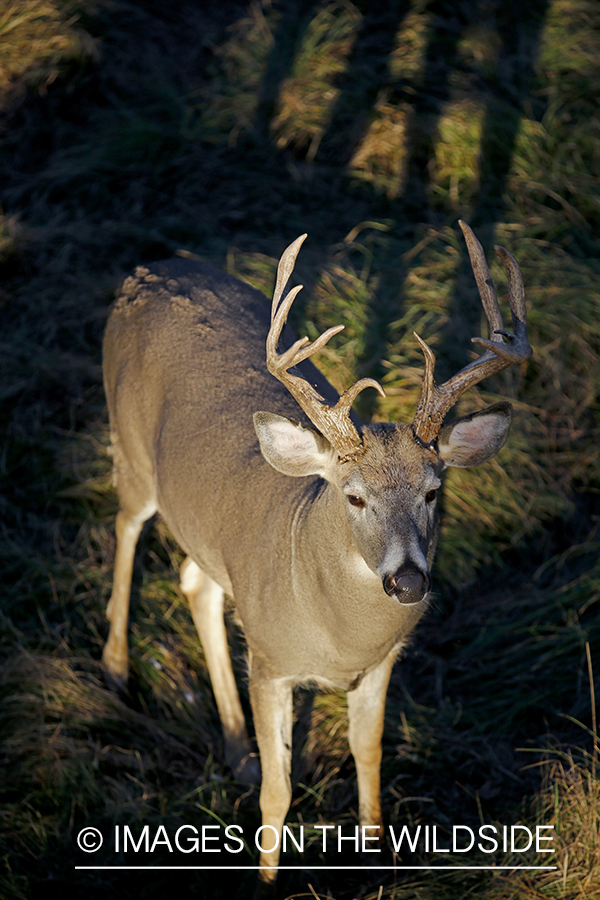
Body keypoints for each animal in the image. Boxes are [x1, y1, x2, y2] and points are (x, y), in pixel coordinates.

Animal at [102, 221, 528, 888]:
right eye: (354, 496)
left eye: (434, 490)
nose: (409, 582)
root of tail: (147, 270)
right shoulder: (271, 662)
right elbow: (279, 793)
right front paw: (266, 882)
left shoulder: (378, 665)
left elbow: (369, 755)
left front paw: (378, 859)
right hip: (132, 450)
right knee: (125, 528)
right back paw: (117, 669)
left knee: (194, 581)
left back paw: (235, 749)